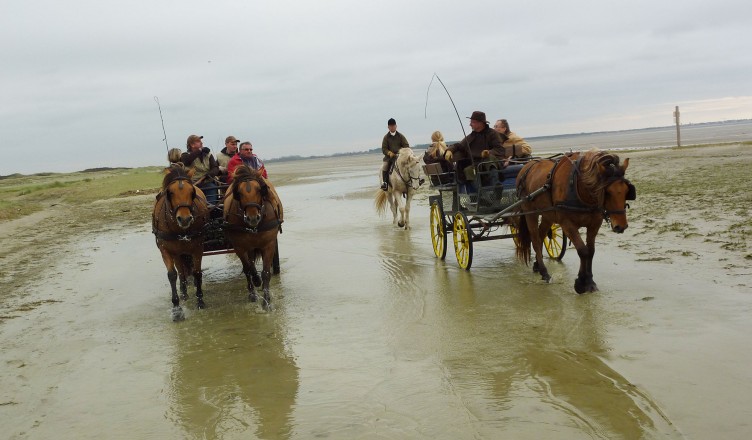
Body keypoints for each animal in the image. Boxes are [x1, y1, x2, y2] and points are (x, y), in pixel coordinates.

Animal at [151, 165, 209, 320]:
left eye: (192, 192)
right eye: (170, 192)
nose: (184, 219)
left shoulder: (198, 247)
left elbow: (197, 273)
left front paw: (200, 301)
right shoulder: (165, 249)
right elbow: (172, 275)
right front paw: (177, 309)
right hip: (177, 252)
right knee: (181, 271)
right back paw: (183, 293)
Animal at [223, 166, 284, 310]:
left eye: (260, 189)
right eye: (239, 193)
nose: (252, 218)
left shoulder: (269, 244)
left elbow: (266, 272)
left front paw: (266, 301)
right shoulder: (239, 247)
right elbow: (248, 269)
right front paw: (254, 287)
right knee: (249, 266)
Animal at [516, 150, 632, 294]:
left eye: (627, 191)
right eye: (608, 192)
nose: (621, 226)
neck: (580, 188)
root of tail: (526, 167)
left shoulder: (594, 224)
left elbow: (591, 251)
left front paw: (590, 281)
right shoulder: (567, 224)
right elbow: (583, 250)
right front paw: (581, 282)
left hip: (548, 215)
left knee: (541, 235)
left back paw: (538, 265)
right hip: (530, 213)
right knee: (536, 240)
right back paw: (544, 272)